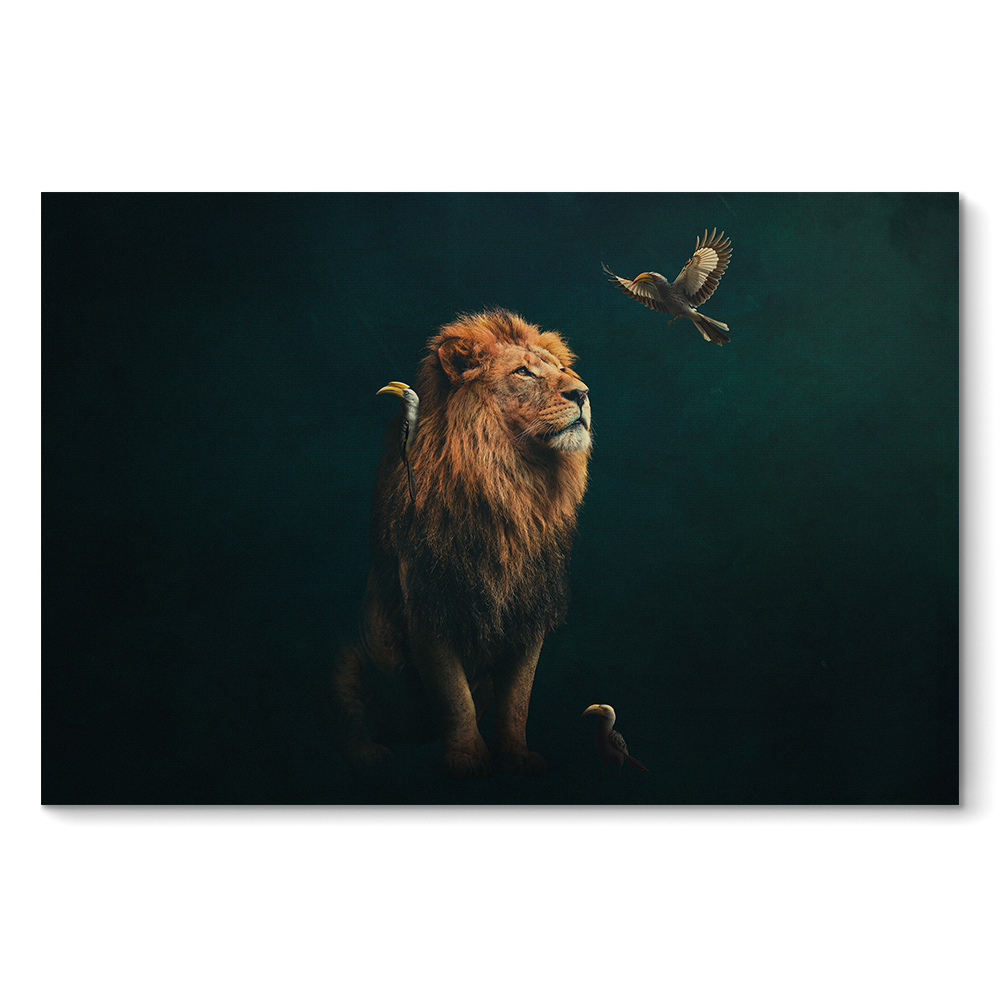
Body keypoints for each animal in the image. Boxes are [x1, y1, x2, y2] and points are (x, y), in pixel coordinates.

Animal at [326, 309, 592, 778]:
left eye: (561, 370)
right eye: (523, 372)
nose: (582, 392)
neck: (513, 485)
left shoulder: (530, 612)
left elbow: (517, 701)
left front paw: (516, 756)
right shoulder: (430, 604)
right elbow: (453, 696)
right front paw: (467, 758)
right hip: (344, 657)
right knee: (352, 719)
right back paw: (369, 753)